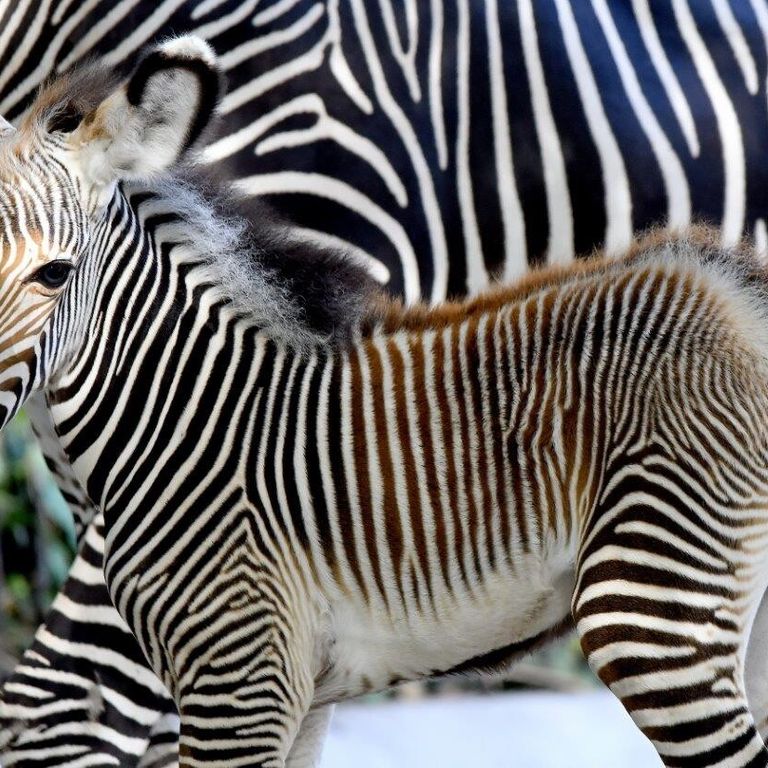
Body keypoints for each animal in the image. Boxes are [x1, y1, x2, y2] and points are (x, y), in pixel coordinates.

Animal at [4, 0, 768, 764]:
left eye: (55, 274)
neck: (189, 412)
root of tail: (735, 294)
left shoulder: (241, 678)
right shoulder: (299, 695)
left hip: (652, 605)